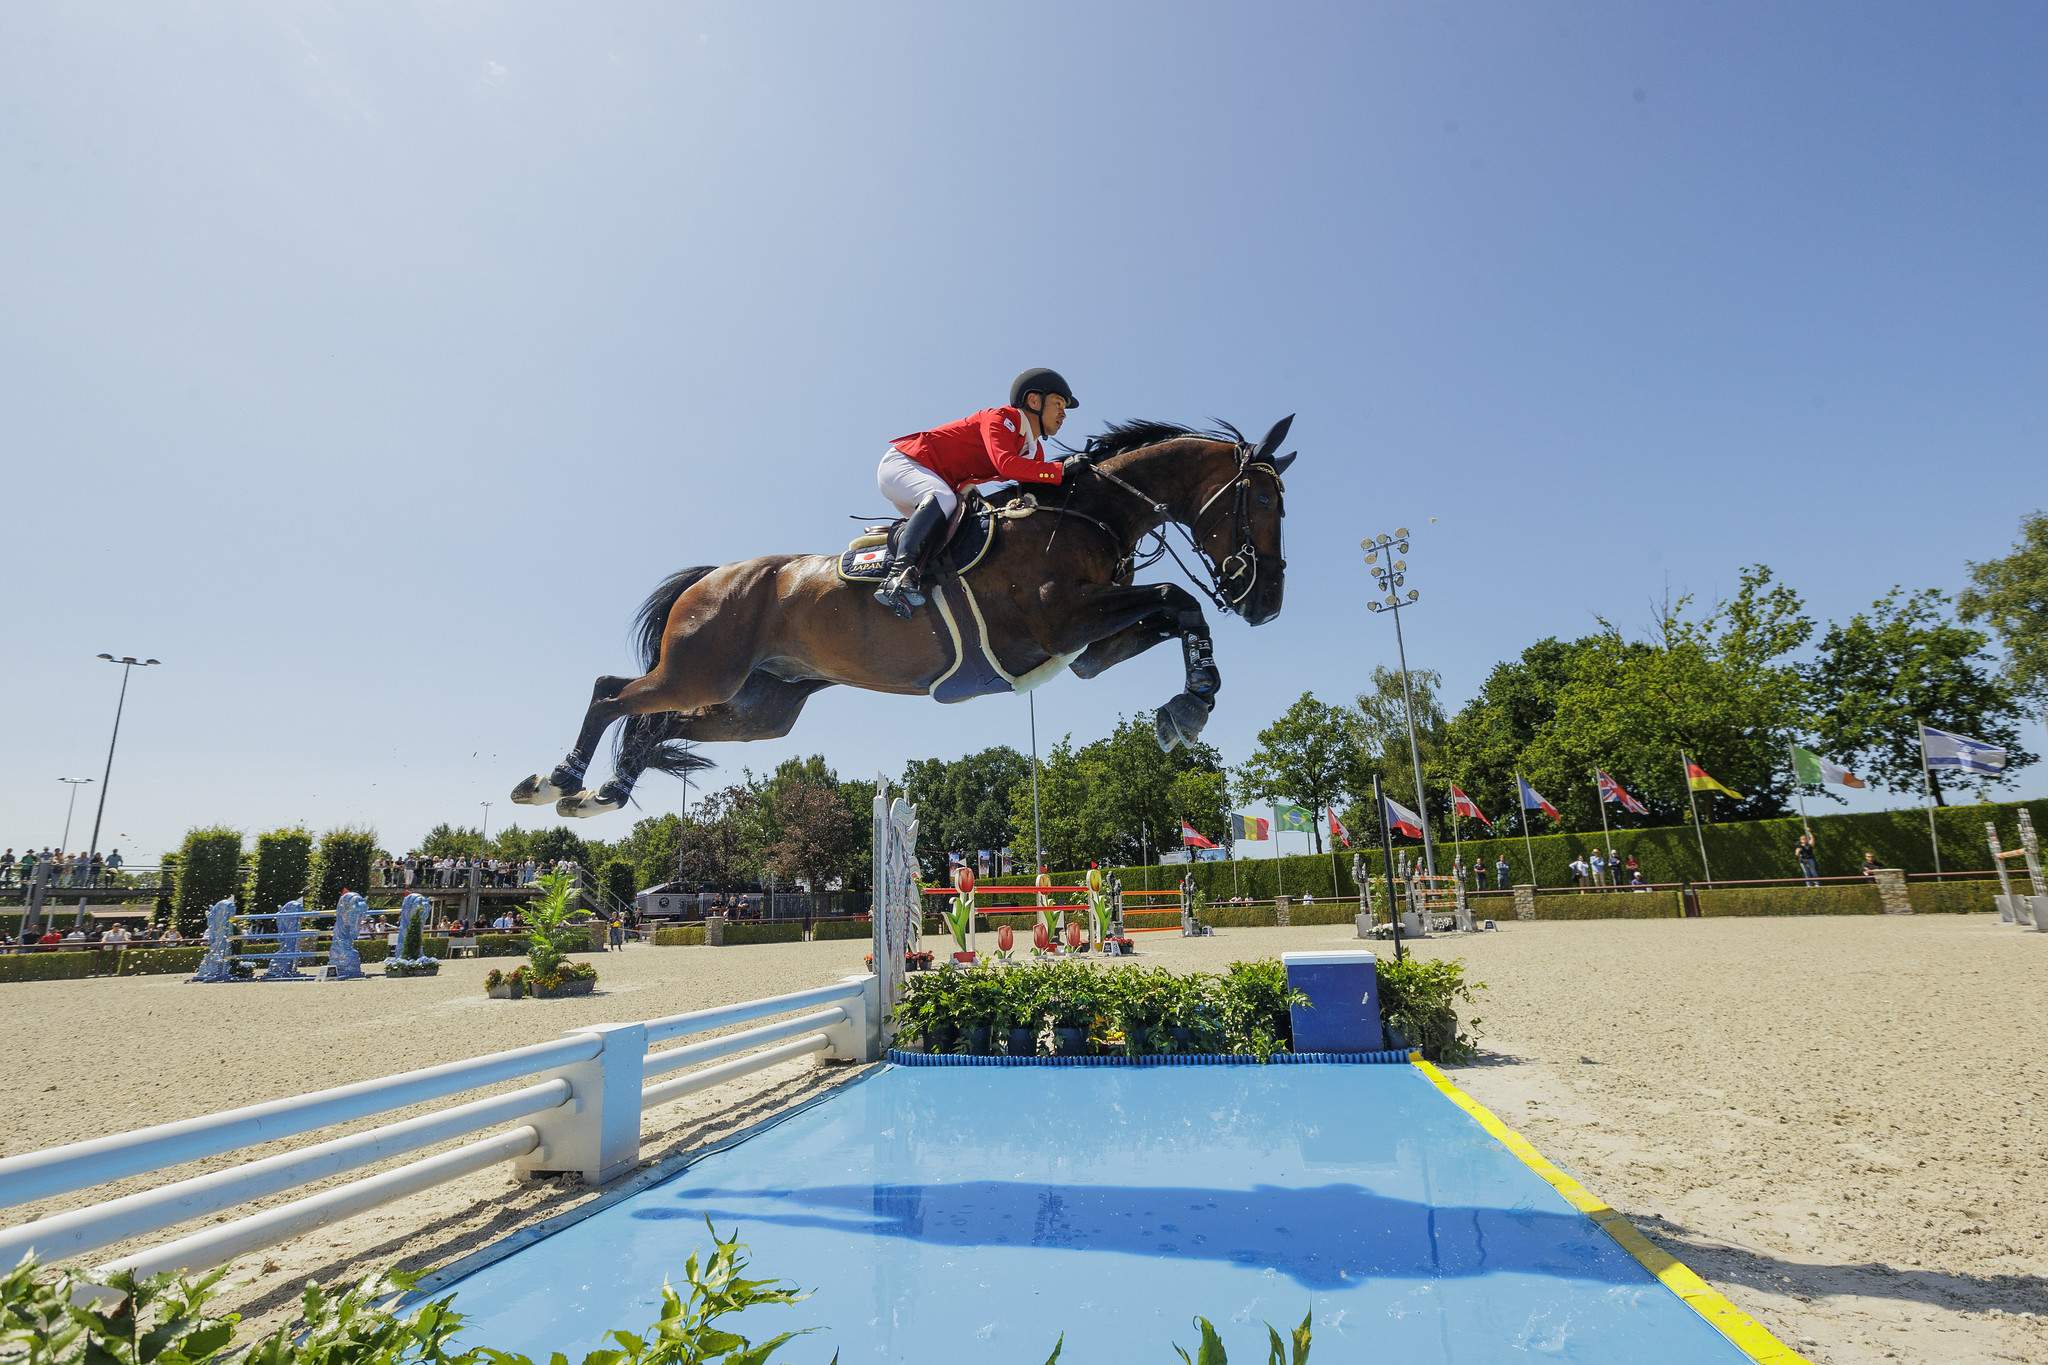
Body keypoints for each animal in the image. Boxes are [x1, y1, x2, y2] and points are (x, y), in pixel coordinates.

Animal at [512, 417, 1294, 818]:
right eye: (1262, 501)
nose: (1266, 604)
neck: (1086, 514)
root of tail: (714, 576)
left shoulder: (1088, 649)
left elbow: (1176, 611)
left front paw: (1186, 706)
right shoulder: (1062, 623)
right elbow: (1180, 599)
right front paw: (1191, 707)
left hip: (758, 707)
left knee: (660, 721)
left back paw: (607, 791)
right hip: (702, 667)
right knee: (612, 691)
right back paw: (556, 781)